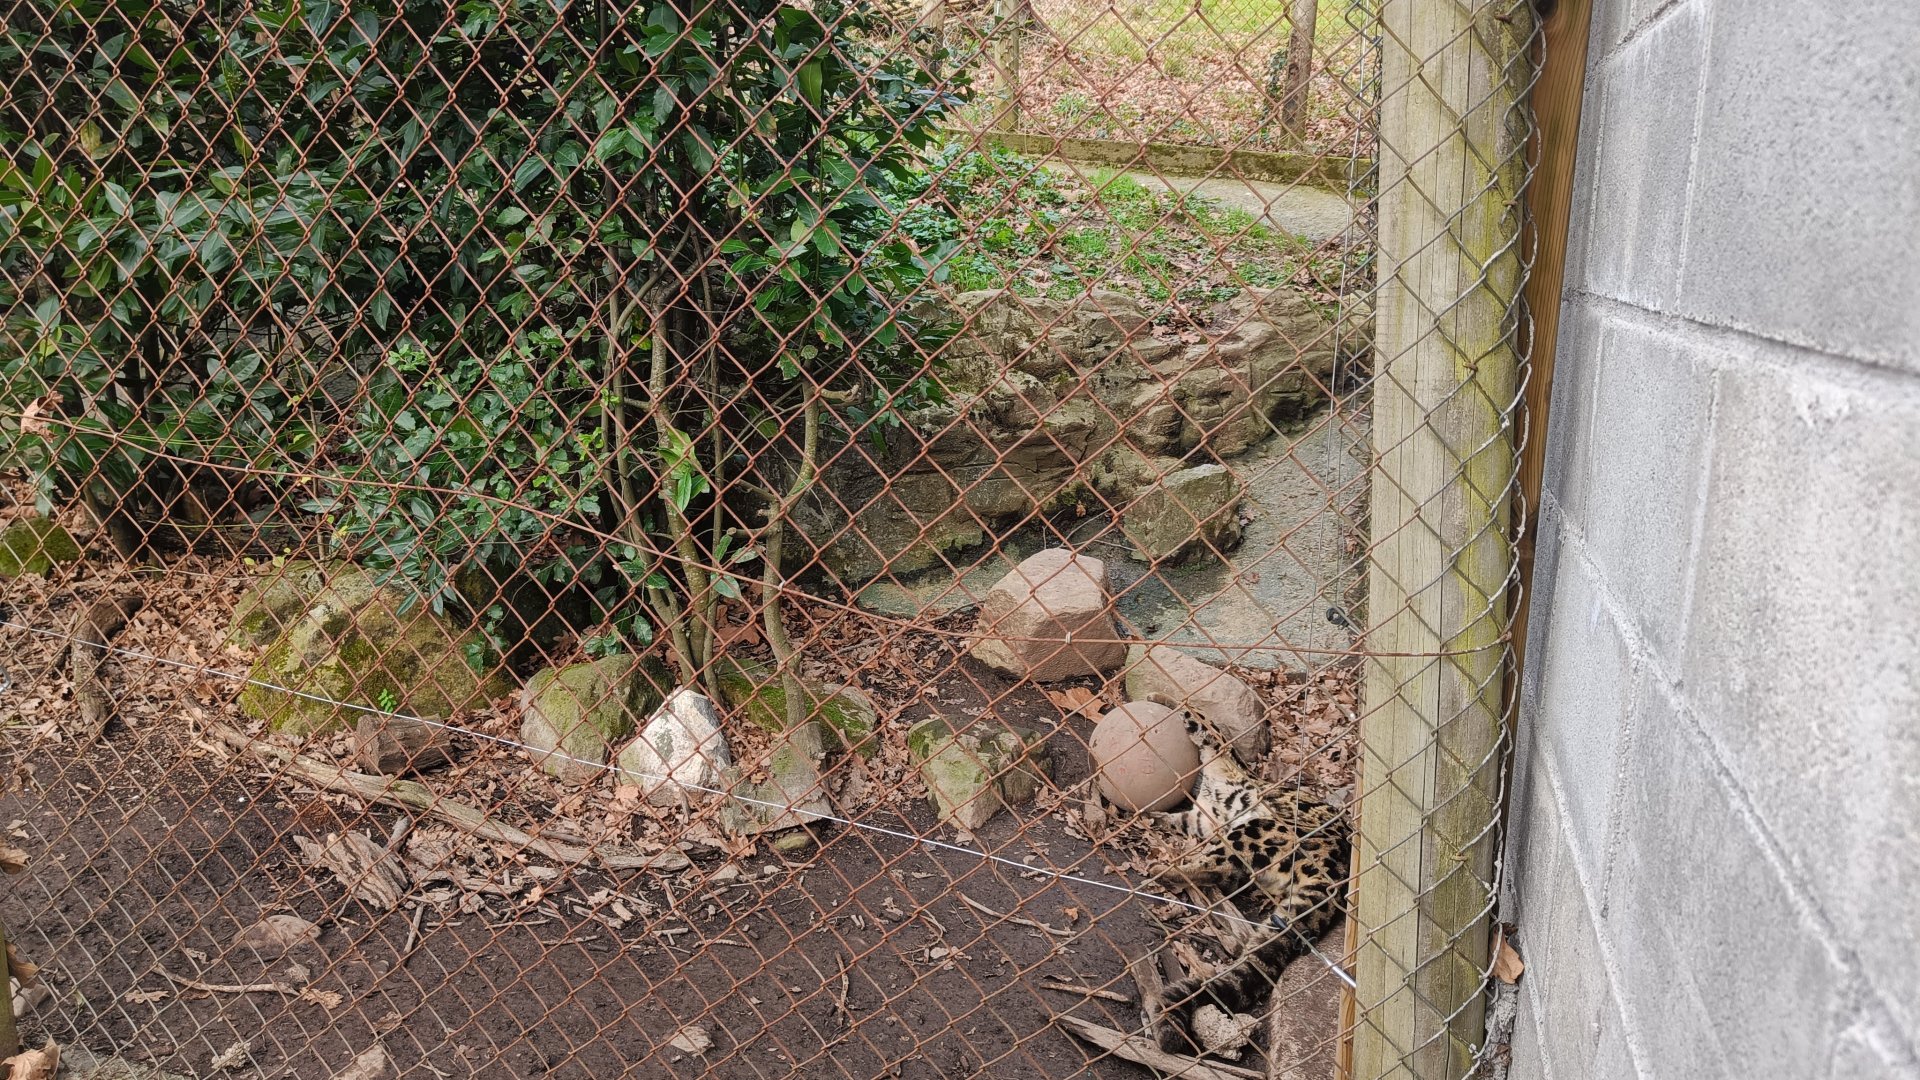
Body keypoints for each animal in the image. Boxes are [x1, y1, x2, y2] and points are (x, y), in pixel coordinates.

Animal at [1144, 713, 1350, 1053]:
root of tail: (1339, 874)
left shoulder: (1226, 768)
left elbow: (1210, 730)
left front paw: (1182, 711)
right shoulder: (1201, 820)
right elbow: (1180, 819)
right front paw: (1155, 817)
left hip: (1259, 829)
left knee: (1220, 866)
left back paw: (1164, 869)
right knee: (1227, 873)